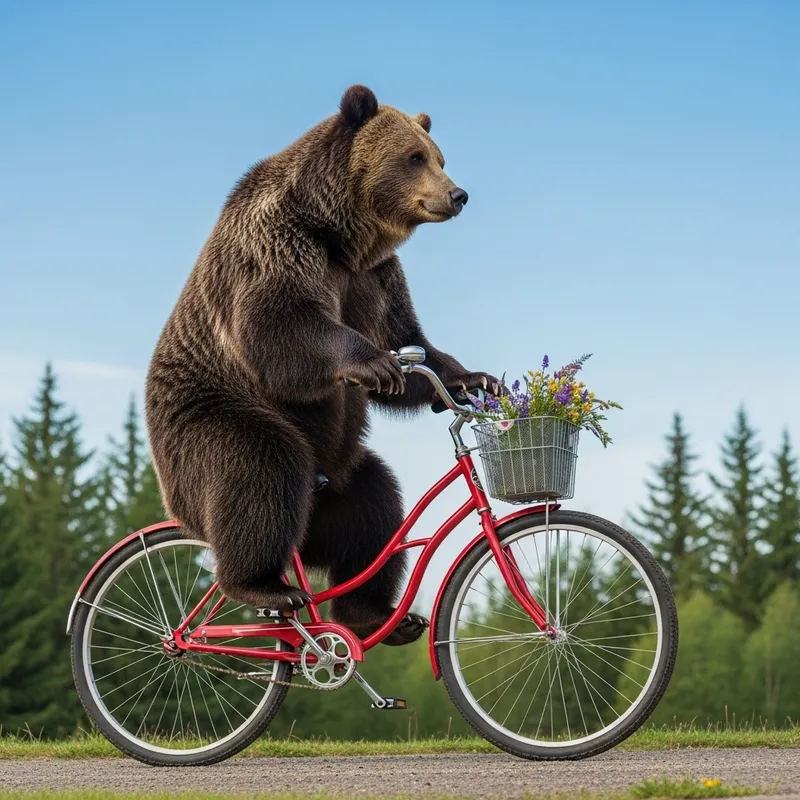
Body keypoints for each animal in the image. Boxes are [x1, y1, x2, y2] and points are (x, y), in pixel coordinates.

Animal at [144, 85, 499, 646]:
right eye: (414, 157)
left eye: (439, 157)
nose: (458, 194)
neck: (340, 235)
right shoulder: (280, 244)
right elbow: (281, 325)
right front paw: (374, 364)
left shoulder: (375, 277)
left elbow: (409, 339)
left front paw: (470, 378)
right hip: (207, 422)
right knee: (261, 465)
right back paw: (262, 585)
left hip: (340, 479)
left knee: (374, 504)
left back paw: (372, 614)